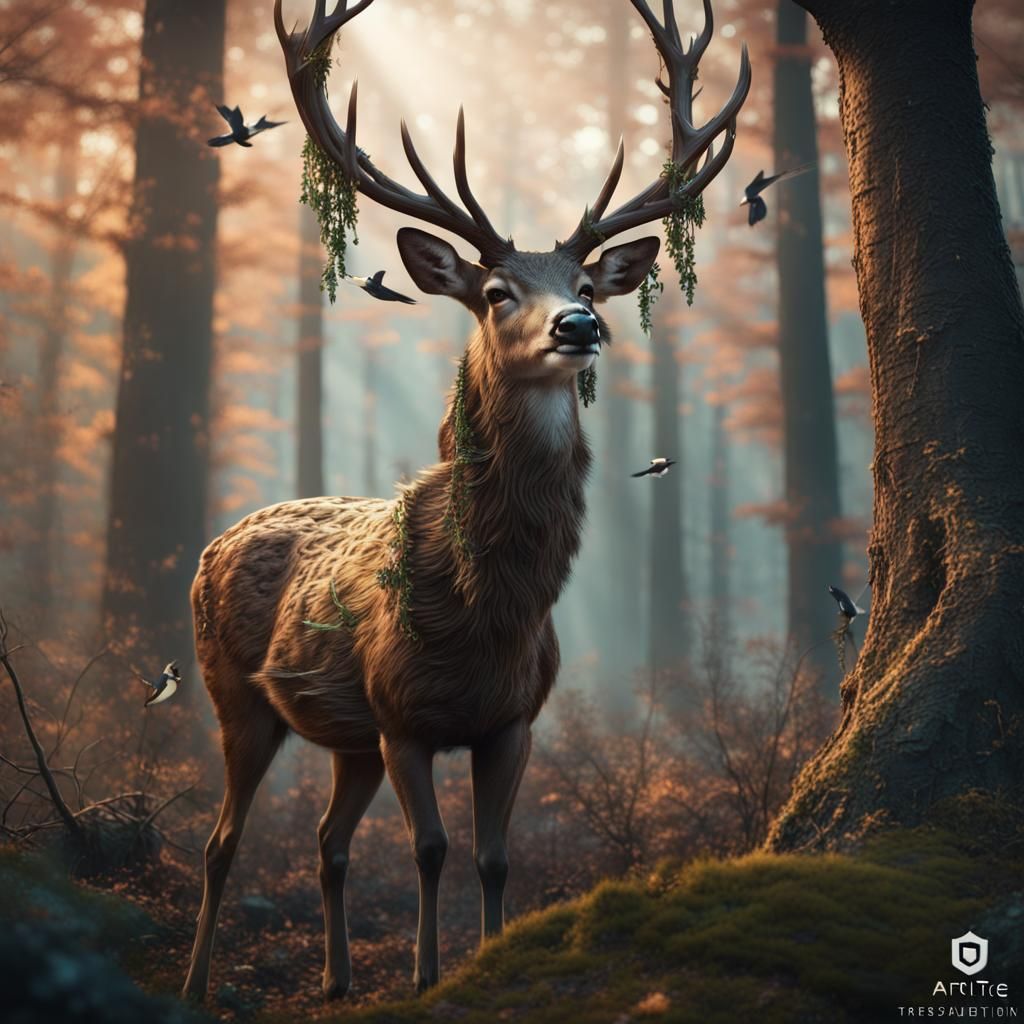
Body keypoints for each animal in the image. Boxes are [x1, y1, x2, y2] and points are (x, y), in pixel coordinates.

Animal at [182, 0, 749, 1003]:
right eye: (494, 291)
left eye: (586, 284)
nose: (580, 325)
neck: (486, 617)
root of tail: (217, 542)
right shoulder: (402, 715)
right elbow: (431, 850)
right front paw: (423, 976)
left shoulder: (512, 719)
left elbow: (493, 857)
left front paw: (483, 961)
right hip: (234, 696)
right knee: (220, 842)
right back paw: (196, 983)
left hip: (346, 739)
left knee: (326, 841)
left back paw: (335, 980)